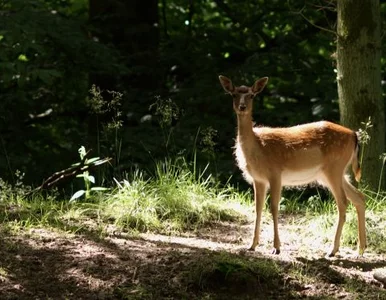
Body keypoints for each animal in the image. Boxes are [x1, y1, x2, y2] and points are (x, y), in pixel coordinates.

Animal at [219, 75, 366, 258]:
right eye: (233, 94)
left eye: (252, 95)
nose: (242, 107)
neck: (259, 147)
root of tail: (354, 135)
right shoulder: (258, 179)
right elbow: (257, 209)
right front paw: (251, 245)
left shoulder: (275, 173)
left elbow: (274, 208)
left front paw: (276, 247)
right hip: (331, 174)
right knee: (359, 197)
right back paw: (361, 249)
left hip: (334, 168)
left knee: (343, 202)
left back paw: (332, 250)